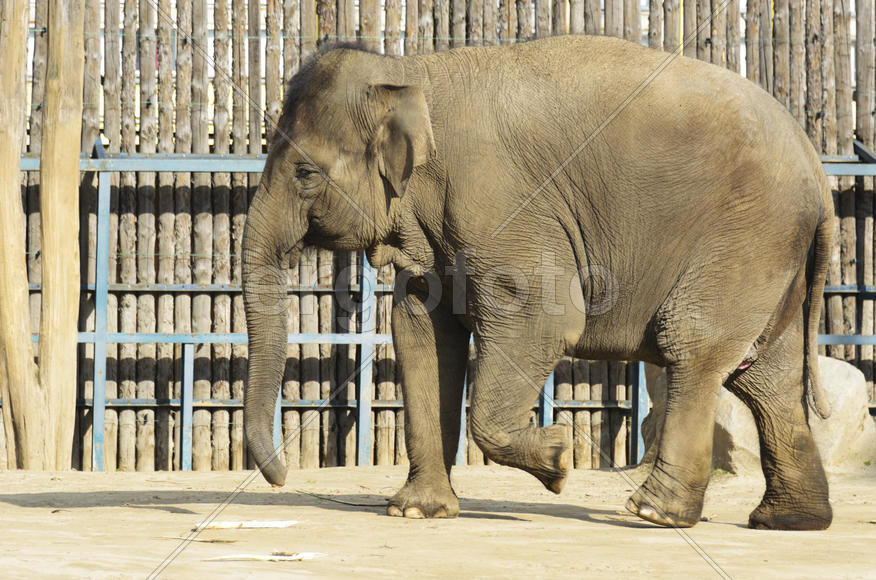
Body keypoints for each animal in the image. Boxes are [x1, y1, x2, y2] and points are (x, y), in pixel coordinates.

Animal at [242, 34, 834, 531]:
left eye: (305, 174)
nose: (283, 476)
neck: (411, 72)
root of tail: (815, 163)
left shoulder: (503, 204)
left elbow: (542, 319)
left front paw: (558, 460)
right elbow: (421, 332)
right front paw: (416, 512)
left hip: (746, 234)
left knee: (695, 346)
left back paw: (654, 513)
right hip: (771, 255)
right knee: (766, 377)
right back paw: (787, 521)